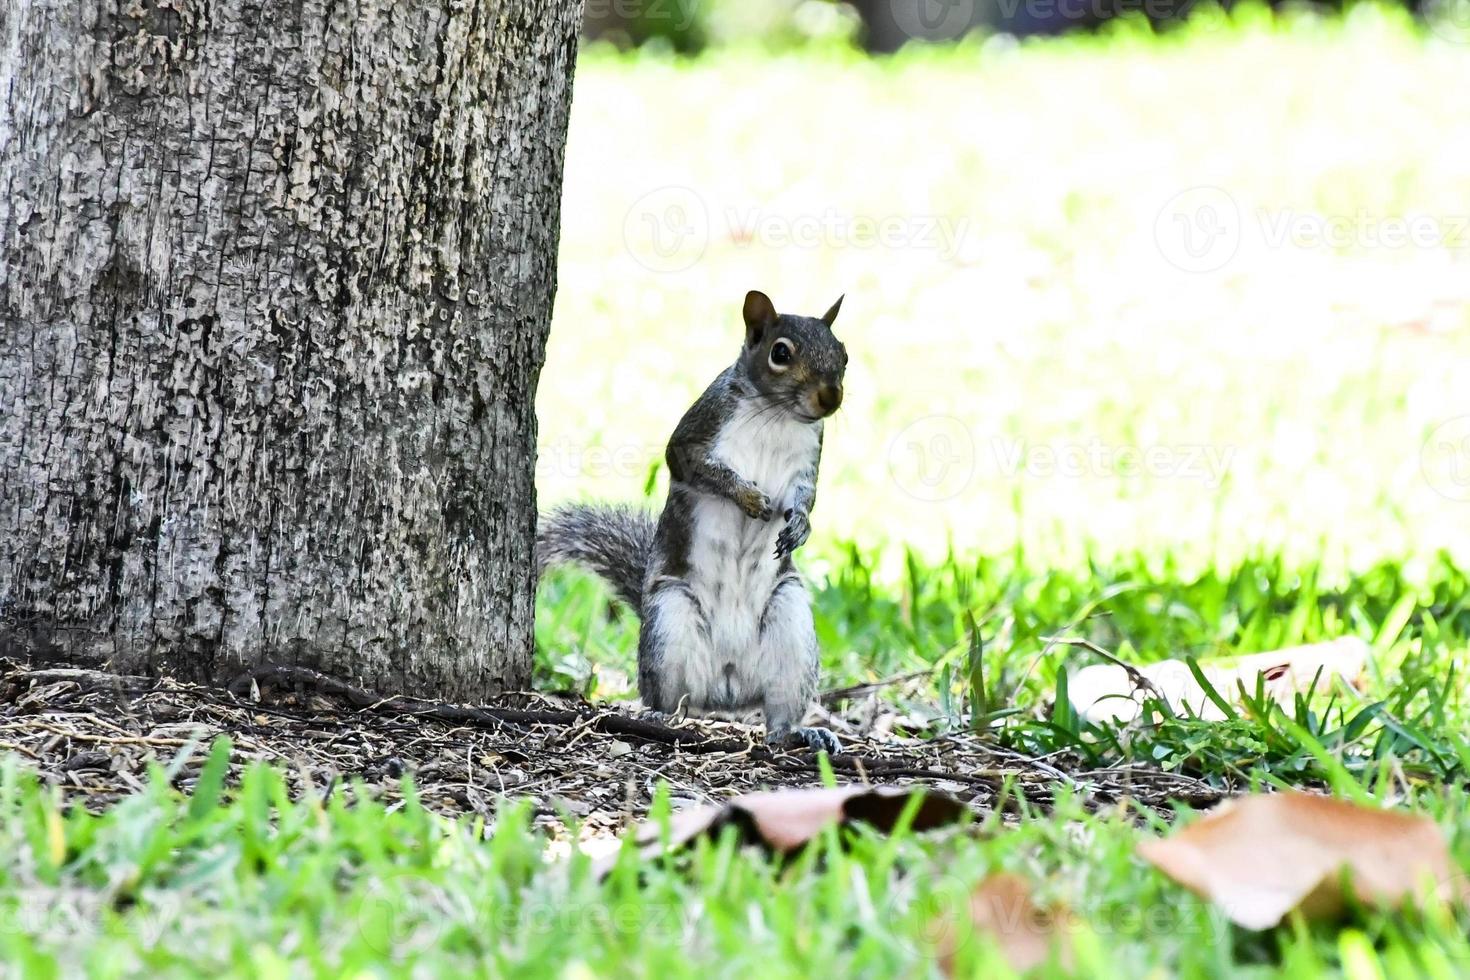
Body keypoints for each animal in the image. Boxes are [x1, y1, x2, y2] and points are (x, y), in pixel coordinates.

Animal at [535, 287, 846, 758]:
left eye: (843, 354)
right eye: (780, 353)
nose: (831, 397)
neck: (777, 416)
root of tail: (727, 691)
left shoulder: (808, 461)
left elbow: (805, 499)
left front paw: (800, 528)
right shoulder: (700, 428)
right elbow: (695, 466)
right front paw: (748, 496)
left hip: (789, 621)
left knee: (776, 718)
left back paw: (800, 732)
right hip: (669, 621)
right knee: (670, 700)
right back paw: (657, 717)